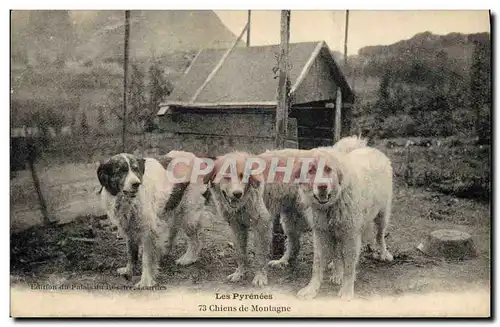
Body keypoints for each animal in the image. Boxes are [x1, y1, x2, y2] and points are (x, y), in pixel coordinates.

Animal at [96, 152, 206, 288]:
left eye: (136, 169)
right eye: (120, 170)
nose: (136, 184)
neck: (128, 201)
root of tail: (195, 157)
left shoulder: (149, 231)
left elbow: (147, 258)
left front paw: (146, 280)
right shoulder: (129, 229)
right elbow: (131, 253)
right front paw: (129, 270)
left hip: (188, 215)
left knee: (195, 240)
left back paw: (188, 259)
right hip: (170, 210)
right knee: (173, 232)